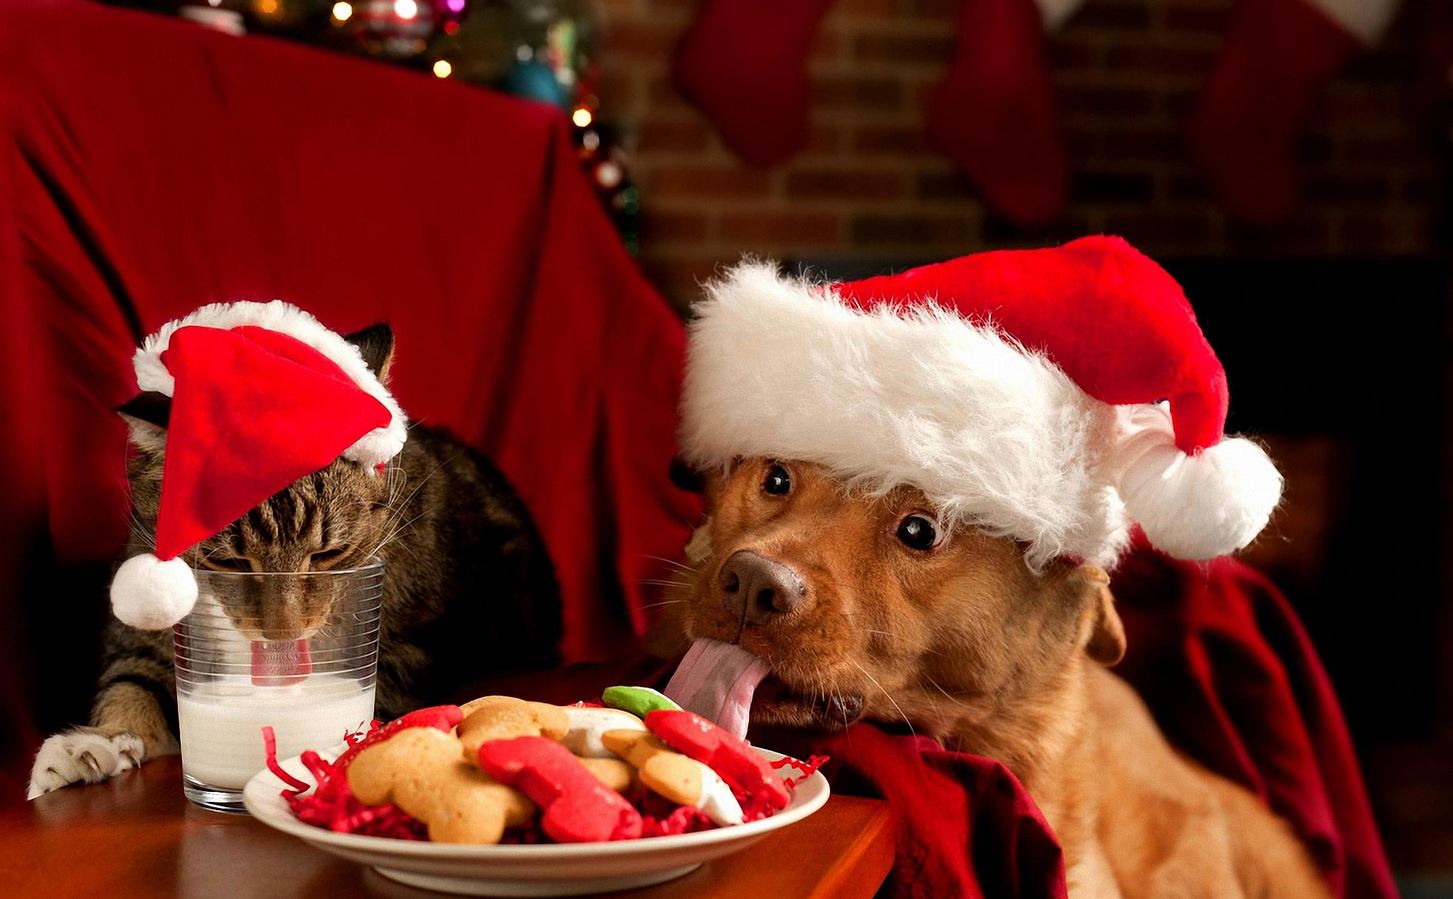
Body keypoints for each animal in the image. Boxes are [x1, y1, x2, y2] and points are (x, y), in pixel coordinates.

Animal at [29, 325, 560, 801]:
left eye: (328, 555)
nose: (281, 635)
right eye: (229, 561)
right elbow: (131, 685)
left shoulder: (416, 650)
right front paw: (94, 744)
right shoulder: (145, 639)